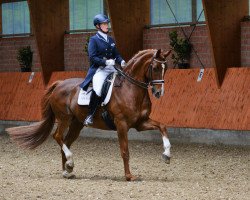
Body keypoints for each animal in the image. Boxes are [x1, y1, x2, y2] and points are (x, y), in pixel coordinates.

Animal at [7, 48, 172, 181]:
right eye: (155, 67)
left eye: (166, 68)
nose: (159, 93)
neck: (130, 89)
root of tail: (59, 84)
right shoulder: (121, 124)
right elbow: (125, 151)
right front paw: (129, 176)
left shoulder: (140, 123)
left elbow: (162, 126)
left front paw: (167, 155)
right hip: (64, 118)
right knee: (58, 136)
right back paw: (70, 162)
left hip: (76, 124)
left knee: (65, 142)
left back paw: (67, 171)